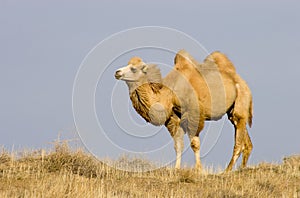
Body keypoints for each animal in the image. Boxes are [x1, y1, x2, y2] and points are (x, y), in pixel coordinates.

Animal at [115, 50, 253, 172]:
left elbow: (194, 144)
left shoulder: (193, 113)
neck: (170, 93)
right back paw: (242, 168)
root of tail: (241, 81)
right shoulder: (174, 117)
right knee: (245, 140)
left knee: (238, 141)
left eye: (133, 68)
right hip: (232, 111)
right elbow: (178, 145)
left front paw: (198, 169)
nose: (117, 72)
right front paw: (176, 169)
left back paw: (227, 171)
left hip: (241, 100)